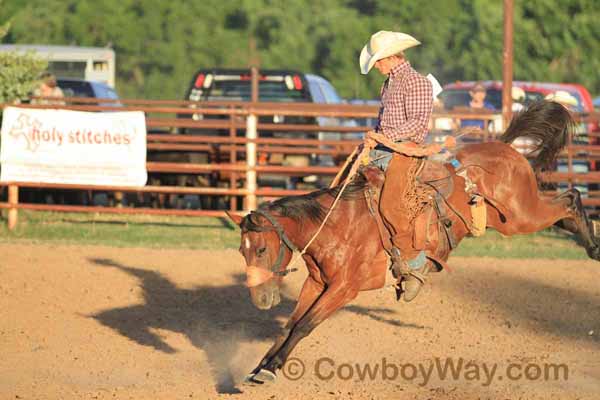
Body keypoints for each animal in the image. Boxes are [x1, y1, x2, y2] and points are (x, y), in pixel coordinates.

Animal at [226, 101, 600, 386]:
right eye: (242, 251)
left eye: (261, 249)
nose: (260, 299)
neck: (336, 225)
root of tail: (505, 147)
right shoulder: (317, 282)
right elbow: (290, 324)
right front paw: (259, 368)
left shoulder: (344, 288)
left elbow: (304, 325)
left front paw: (270, 370)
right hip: (509, 217)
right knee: (564, 208)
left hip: (522, 215)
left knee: (570, 197)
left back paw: (593, 245)